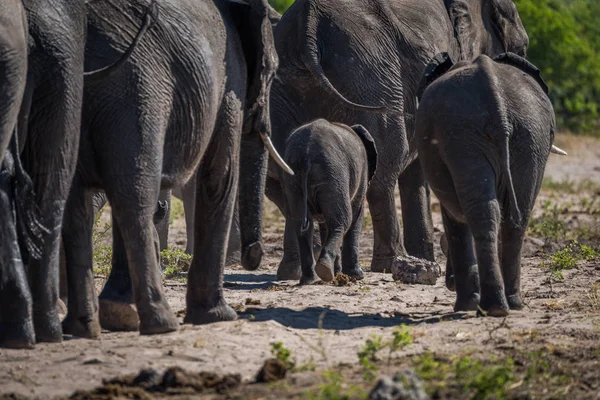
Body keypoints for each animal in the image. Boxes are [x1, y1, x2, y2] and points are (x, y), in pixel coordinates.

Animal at [61, 0, 286, 340]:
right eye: (272, 72)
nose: (254, 254)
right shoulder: (230, 75)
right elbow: (219, 176)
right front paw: (217, 317)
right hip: (138, 90)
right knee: (134, 194)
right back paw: (160, 322)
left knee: (75, 201)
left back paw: (84, 326)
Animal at [280, 119, 376, 284]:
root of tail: (306, 154)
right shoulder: (361, 173)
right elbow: (356, 215)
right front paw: (356, 276)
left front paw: (339, 274)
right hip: (333, 174)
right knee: (342, 221)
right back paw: (325, 272)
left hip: (294, 178)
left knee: (302, 225)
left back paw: (310, 279)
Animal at [414, 52, 564, 316]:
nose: (449, 283)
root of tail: (499, 114)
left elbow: (453, 216)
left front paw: (464, 305)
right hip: (524, 137)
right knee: (513, 216)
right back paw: (506, 306)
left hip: (470, 134)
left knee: (484, 213)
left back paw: (485, 306)